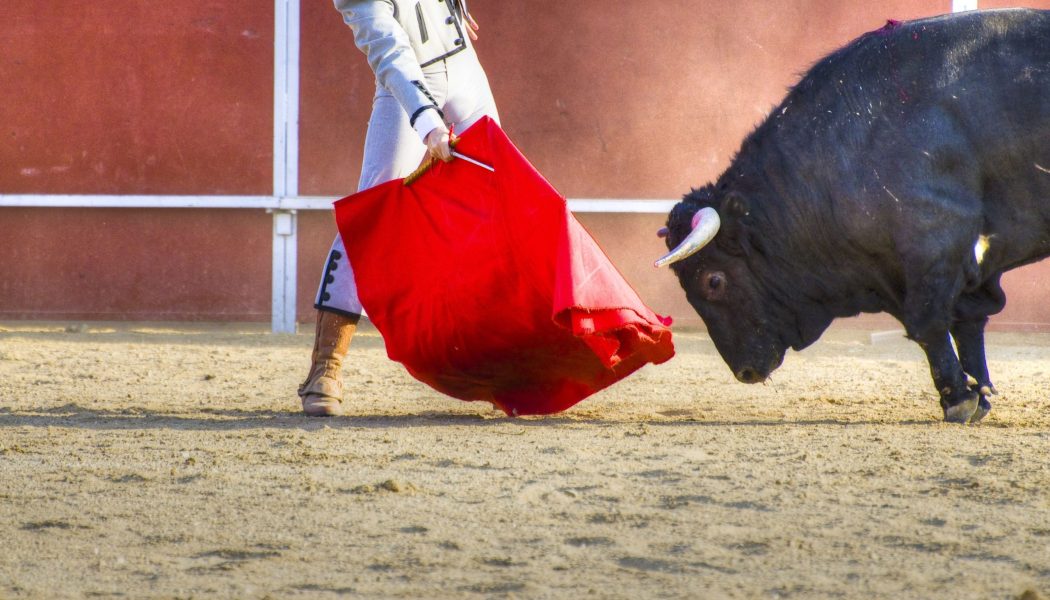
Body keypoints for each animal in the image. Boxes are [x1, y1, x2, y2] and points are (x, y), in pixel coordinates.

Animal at [655, 8, 1050, 422]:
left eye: (713, 281)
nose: (744, 371)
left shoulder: (935, 240)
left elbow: (929, 321)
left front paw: (959, 399)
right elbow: (967, 321)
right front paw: (980, 394)